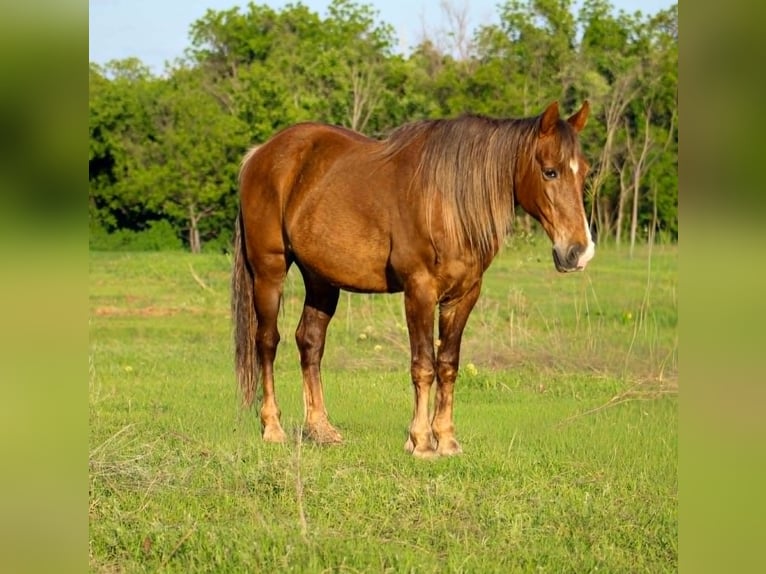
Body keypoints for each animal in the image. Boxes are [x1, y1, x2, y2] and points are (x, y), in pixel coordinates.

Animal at [231, 101, 594, 458]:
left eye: (585, 171)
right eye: (550, 171)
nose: (579, 252)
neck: (447, 202)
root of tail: (260, 154)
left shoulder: (464, 295)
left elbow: (447, 364)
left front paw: (446, 438)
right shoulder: (419, 290)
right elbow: (423, 365)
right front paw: (421, 440)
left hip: (321, 280)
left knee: (310, 341)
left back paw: (321, 429)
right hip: (270, 271)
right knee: (267, 341)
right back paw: (273, 427)